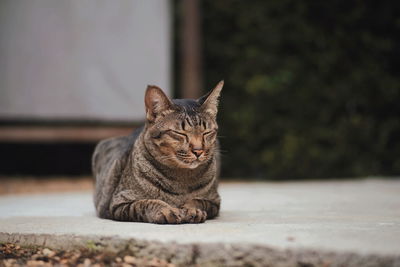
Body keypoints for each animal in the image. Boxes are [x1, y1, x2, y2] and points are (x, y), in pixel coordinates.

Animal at [92, 81, 223, 224]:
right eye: (180, 133)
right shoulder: (119, 202)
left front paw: (192, 209)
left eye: (207, 132)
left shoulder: (214, 201)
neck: (181, 178)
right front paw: (166, 210)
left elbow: (198, 200)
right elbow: (145, 203)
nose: (198, 150)